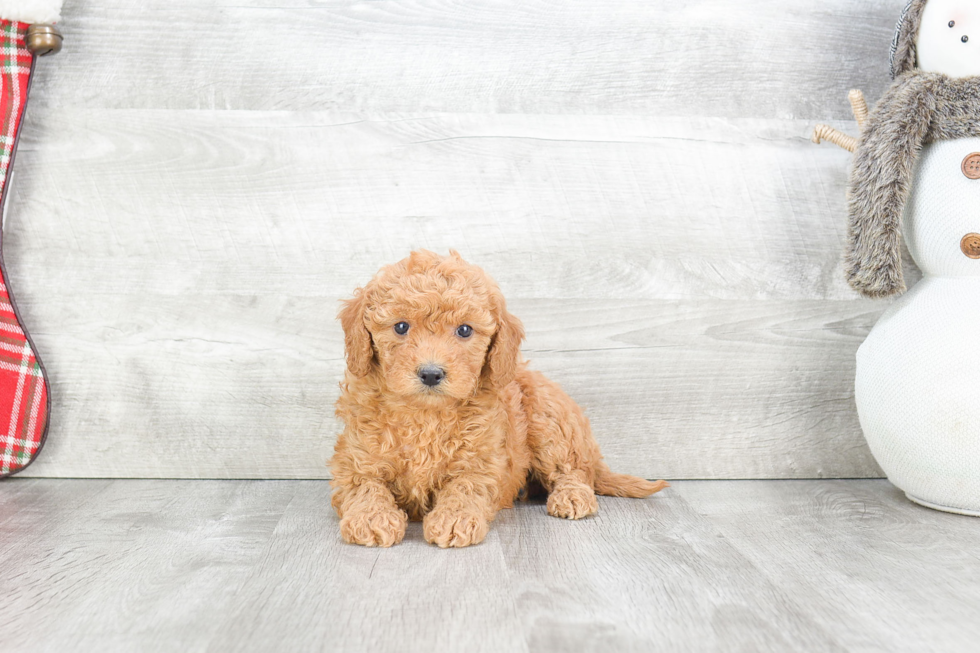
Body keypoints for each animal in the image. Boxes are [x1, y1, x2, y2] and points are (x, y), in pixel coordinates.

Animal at [334, 250, 668, 544]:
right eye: (401, 326)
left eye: (465, 330)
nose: (430, 373)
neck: (425, 414)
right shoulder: (354, 461)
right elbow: (365, 486)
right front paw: (371, 517)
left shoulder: (484, 461)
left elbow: (466, 486)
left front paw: (454, 518)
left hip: (550, 420)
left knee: (574, 470)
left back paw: (572, 495)